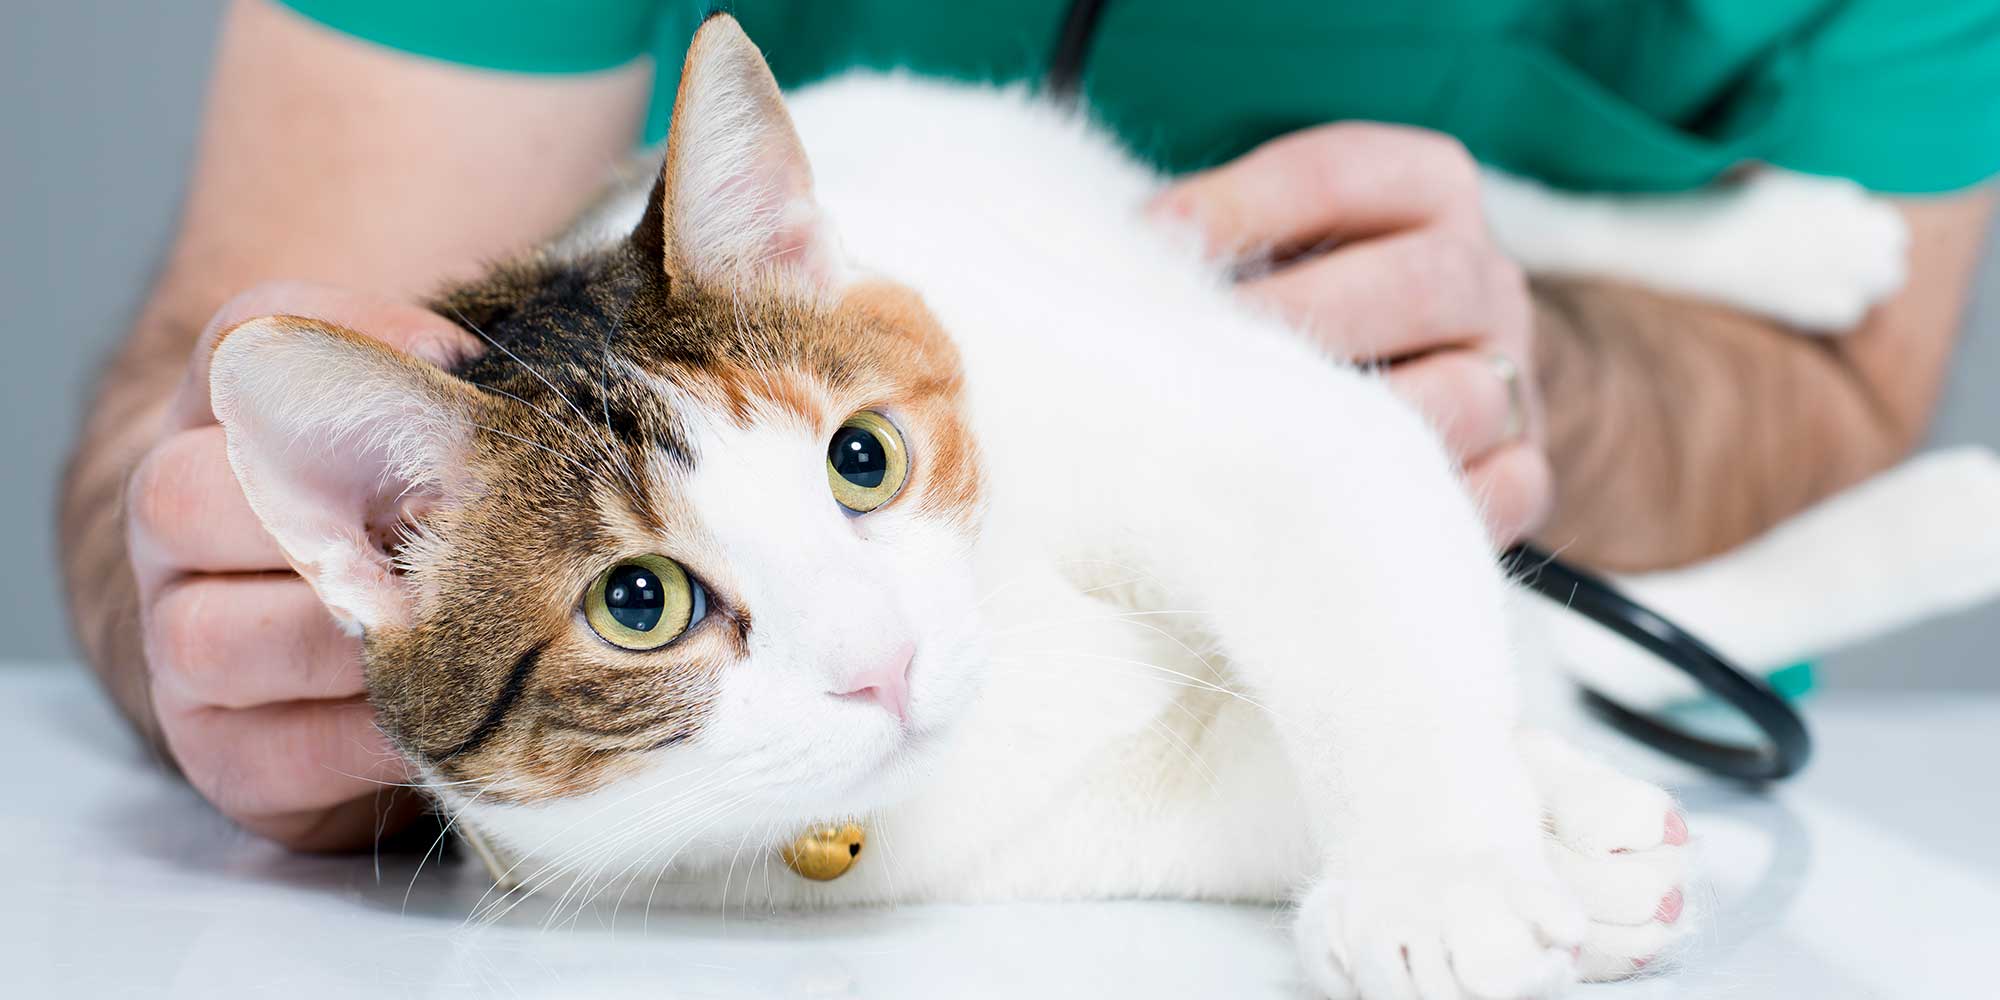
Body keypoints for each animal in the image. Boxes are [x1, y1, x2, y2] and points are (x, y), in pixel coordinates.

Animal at [207, 15, 1920, 1000]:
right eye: (640, 605)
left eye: (864, 459)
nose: (890, 663)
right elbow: (1252, 783)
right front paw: (1567, 834)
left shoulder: (1262, 423)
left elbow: (1350, 558)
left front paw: (1450, 873)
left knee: (1489, 196)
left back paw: (1801, 242)